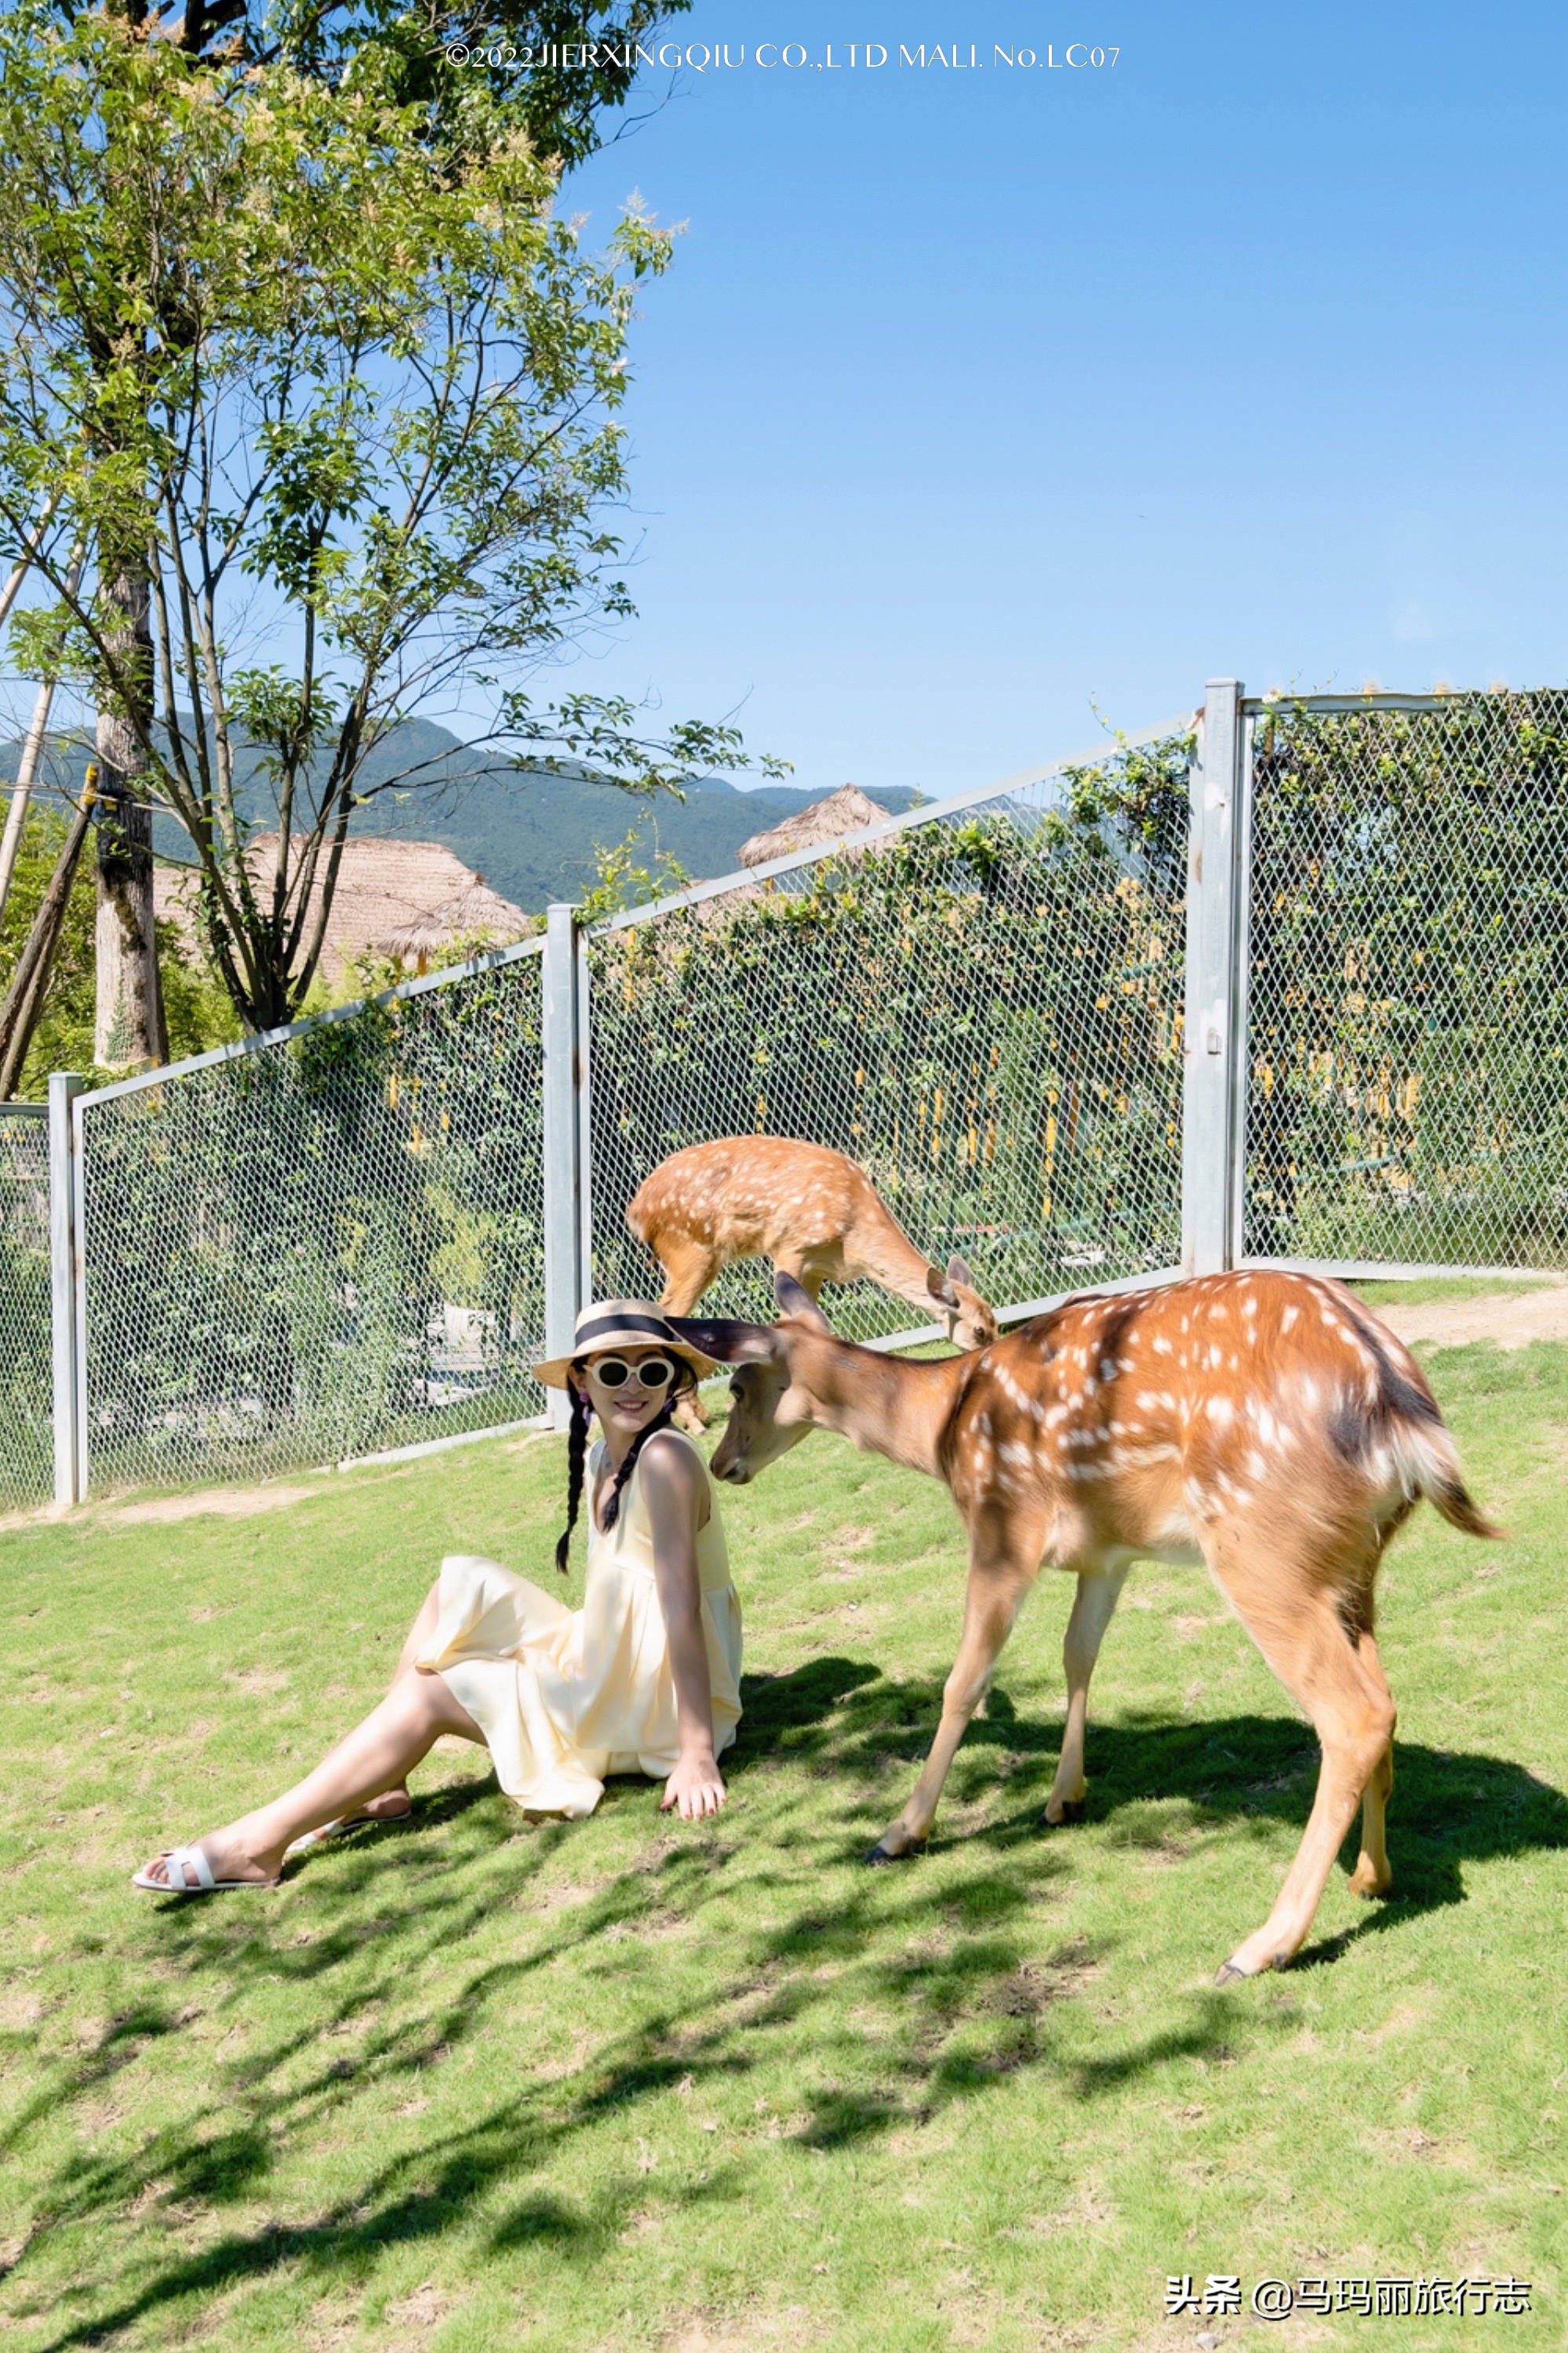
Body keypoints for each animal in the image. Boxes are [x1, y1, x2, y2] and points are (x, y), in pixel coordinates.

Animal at [621, 1139, 988, 1346]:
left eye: (995, 1322)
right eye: (980, 1330)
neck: (853, 1238)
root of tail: (636, 1209)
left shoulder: (817, 1268)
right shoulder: (791, 1246)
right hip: (691, 1248)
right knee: (668, 1312)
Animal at [673, 1261, 1506, 1977]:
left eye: (740, 1383)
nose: (719, 1465)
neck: (943, 1431)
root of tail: (1395, 1402)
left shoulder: (1001, 1526)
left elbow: (965, 1680)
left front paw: (900, 1833)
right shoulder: (1107, 1553)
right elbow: (1079, 1654)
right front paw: (1063, 1798)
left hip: (1259, 1545)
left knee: (1352, 1713)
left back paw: (1261, 1946)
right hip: (1354, 1562)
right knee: (1384, 1698)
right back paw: (1371, 1875)